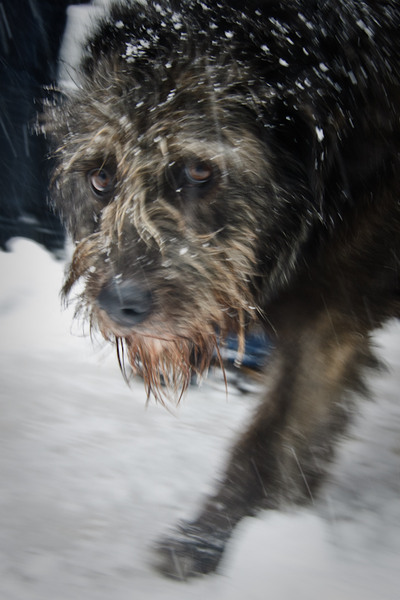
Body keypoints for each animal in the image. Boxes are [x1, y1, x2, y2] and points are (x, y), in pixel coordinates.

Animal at [44, 0, 400, 579]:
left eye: (197, 170)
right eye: (101, 178)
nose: (121, 304)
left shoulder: (330, 314)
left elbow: (272, 438)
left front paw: (210, 539)